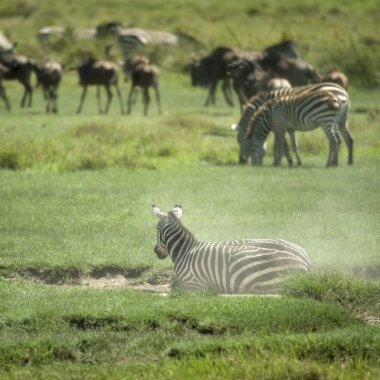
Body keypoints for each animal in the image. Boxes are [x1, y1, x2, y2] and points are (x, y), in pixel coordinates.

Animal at [152, 205, 312, 294]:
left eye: (156, 229)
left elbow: (175, 286)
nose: (156, 252)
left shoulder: (192, 284)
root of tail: (304, 259)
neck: (185, 250)